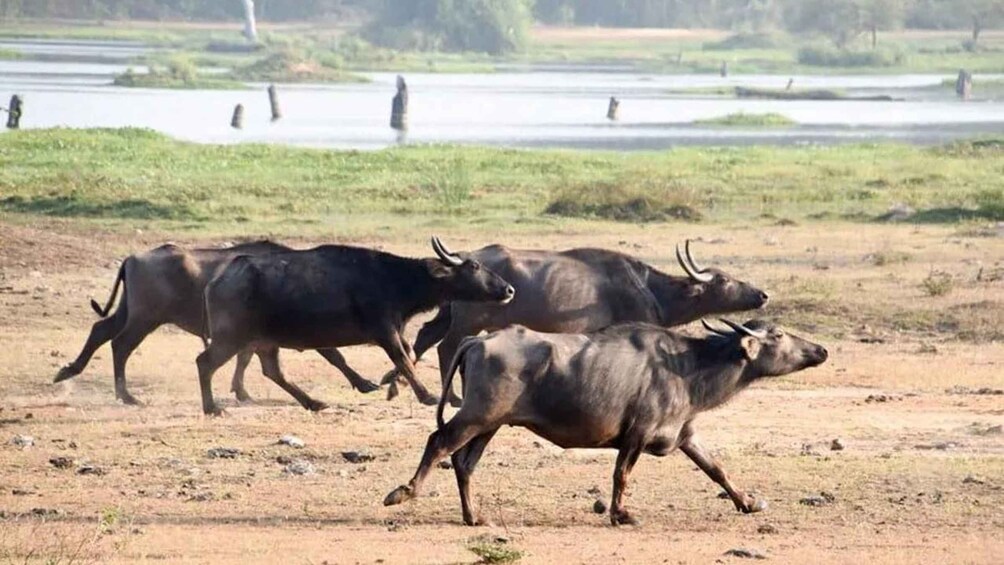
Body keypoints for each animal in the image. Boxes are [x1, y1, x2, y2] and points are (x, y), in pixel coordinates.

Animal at [198, 237, 518, 415]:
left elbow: (408, 354)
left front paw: (393, 386)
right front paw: (426, 395)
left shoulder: (395, 330)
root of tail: (219, 280)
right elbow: (404, 358)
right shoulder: (384, 330)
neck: (394, 279)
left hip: (266, 341)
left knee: (274, 371)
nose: (509, 290)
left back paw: (315, 402)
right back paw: (212, 408)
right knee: (204, 362)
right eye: (474, 266)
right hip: (231, 337)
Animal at [383, 240, 767, 405]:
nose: (762, 294)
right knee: (445, 346)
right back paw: (451, 396)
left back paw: (394, 384)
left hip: (448, 314)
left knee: (424, 336)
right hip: (467, 320)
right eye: (724, 280)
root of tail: (462, 257)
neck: (648, 287)